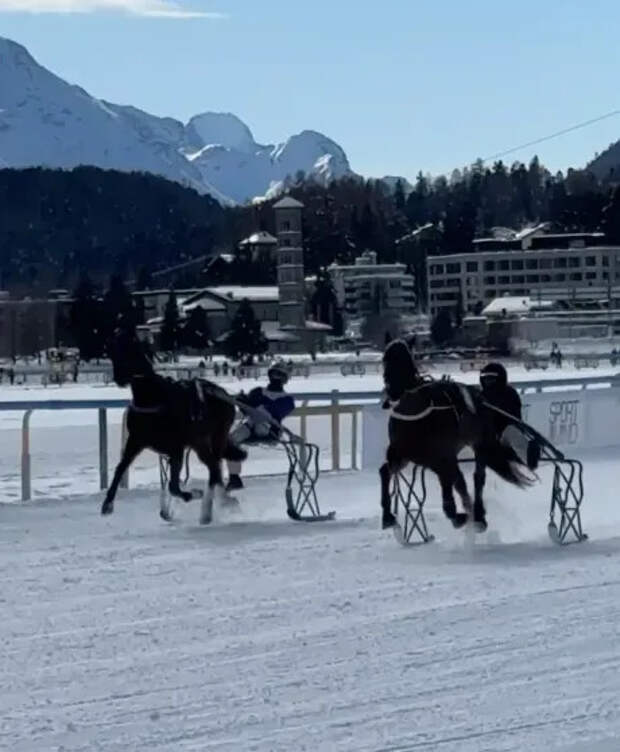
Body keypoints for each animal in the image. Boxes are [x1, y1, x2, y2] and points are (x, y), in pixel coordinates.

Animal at [101, 326, 247, 524]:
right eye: (113, 350)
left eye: (130, 348)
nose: (119, 378)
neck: (153, 397)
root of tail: (222, 393)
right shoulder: (136, 441)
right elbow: (121, 468)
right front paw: (107, 504)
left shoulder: (175, 448)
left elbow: (173, 486)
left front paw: (192, 494)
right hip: (200, 443)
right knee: (214, 469)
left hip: (214, 437)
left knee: (214, 470)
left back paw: (210, 509)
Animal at [378, 340, 532, 536]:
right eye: (385, 360)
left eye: (407, 360)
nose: (392, 392)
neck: (416, 418)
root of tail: (480, 398)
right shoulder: (403, 454)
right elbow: (384, 471)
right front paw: (388, 516)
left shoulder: (440, 457)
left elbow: (450, 489)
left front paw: (459, 516)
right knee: (459, 480)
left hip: (480, 444)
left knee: (477, 477)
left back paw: (477, 515)